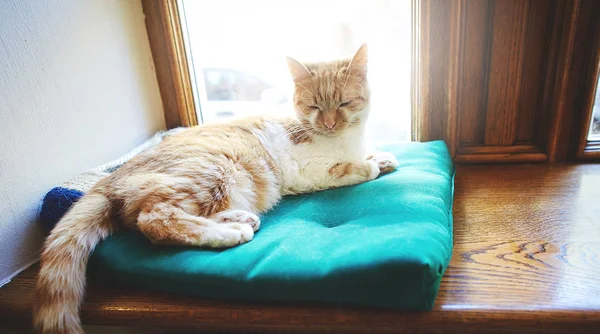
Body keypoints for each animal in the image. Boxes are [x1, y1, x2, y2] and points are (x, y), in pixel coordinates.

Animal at [32, 44, 398, 334]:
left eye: (345, 103)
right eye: (314, 107)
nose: (329, 123)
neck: (344, 139)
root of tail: (109, 179)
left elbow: (367, 154)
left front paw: (382, 156)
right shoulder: (310, 171)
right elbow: (349, 168)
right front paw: (371, 165)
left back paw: (238, 219)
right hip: (214, 170)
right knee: (155, 219)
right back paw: (229, 233)